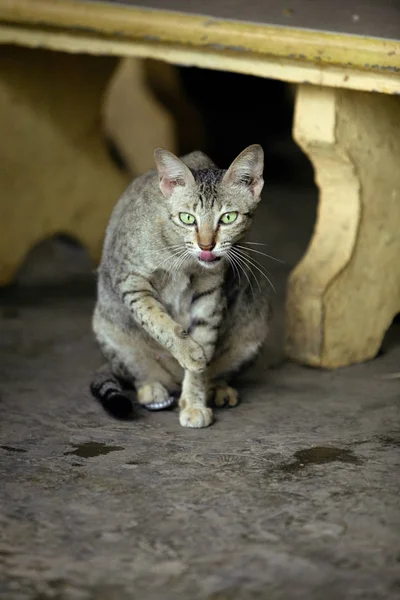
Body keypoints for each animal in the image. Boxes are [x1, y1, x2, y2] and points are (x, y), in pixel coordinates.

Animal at [91, 144, 272, 426]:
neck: (183, 261)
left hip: (255, 329)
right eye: (187, 218)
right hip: (107, 330)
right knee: (138, 374)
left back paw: (217, 388)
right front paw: (189, 353)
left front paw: (195, 401)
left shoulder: (210, 294)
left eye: (228, 217)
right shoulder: (131, 281)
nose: (207, 246)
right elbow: (158, 321)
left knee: (219, 373)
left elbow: (204, 342)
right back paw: (152, 388)